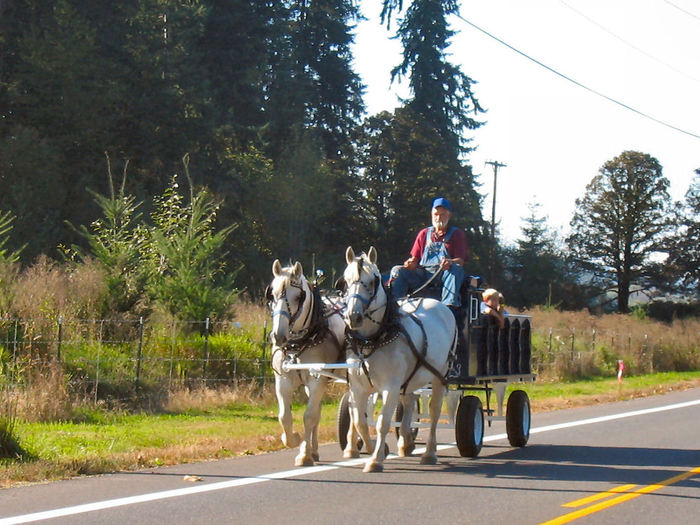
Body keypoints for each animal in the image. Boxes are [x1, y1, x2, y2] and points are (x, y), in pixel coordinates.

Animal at [266, 256, 346, 464]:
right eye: (273, 295)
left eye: (298, 297)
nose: (278, 336)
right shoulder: (283, 380)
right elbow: (284, 416)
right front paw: (293, 439)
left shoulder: (317, 380)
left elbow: (308, 416)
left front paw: (303, 454)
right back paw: (314, 450)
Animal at [340, 246, 460, 470]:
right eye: (346, 280)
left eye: (373, 280)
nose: (354, 316)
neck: (373, 339)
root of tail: (439, 304)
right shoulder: (358, 388)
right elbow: (360, 421)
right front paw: (373, 450)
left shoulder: (390, 386)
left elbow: (382, 422)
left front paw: (375, 459)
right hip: (412, 377)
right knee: (409, 400)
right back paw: (407, 443)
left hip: (440, 376)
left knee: (434, 411)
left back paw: (429, 453)